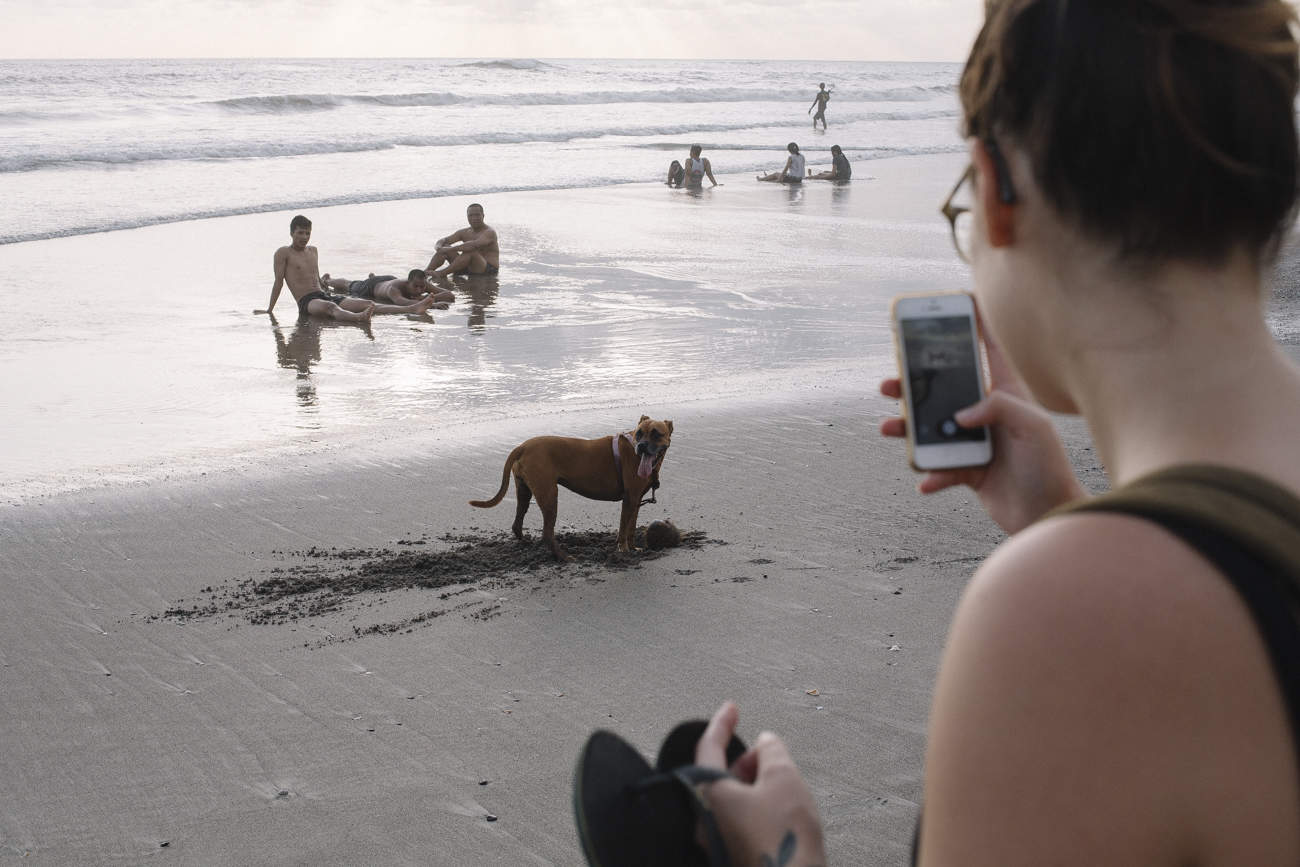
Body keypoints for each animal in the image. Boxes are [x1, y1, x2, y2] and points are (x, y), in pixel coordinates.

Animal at [467, 415, 670, 558]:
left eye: (656, 434)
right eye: (639, 433)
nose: (641, 446)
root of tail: (523, 446)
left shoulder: (635, 501)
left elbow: (630, 528)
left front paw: (633, 548)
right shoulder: (629, 500)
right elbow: (623, 529)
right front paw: (624, 550)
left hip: (524, 490)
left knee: (518, 523)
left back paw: (526, 543)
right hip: (549, 495)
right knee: (547, 534)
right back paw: (564, 557)